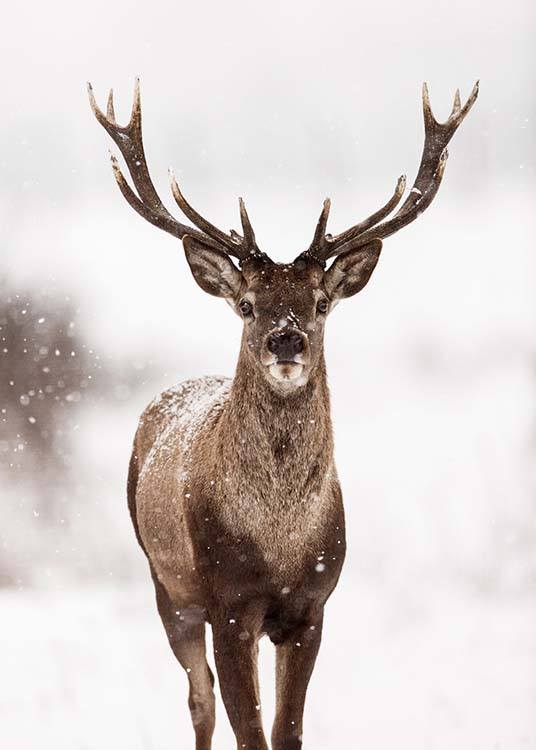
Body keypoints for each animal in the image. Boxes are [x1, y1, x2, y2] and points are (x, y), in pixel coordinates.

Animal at [88, 79, 478, 750]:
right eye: (247, 304)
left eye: (320, 302)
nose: (286, 339)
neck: (279, 543)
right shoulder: (228, 601)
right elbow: (250, 731)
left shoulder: (312, 605)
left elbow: (287, 729)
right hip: (166, 582)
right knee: (199, 701)